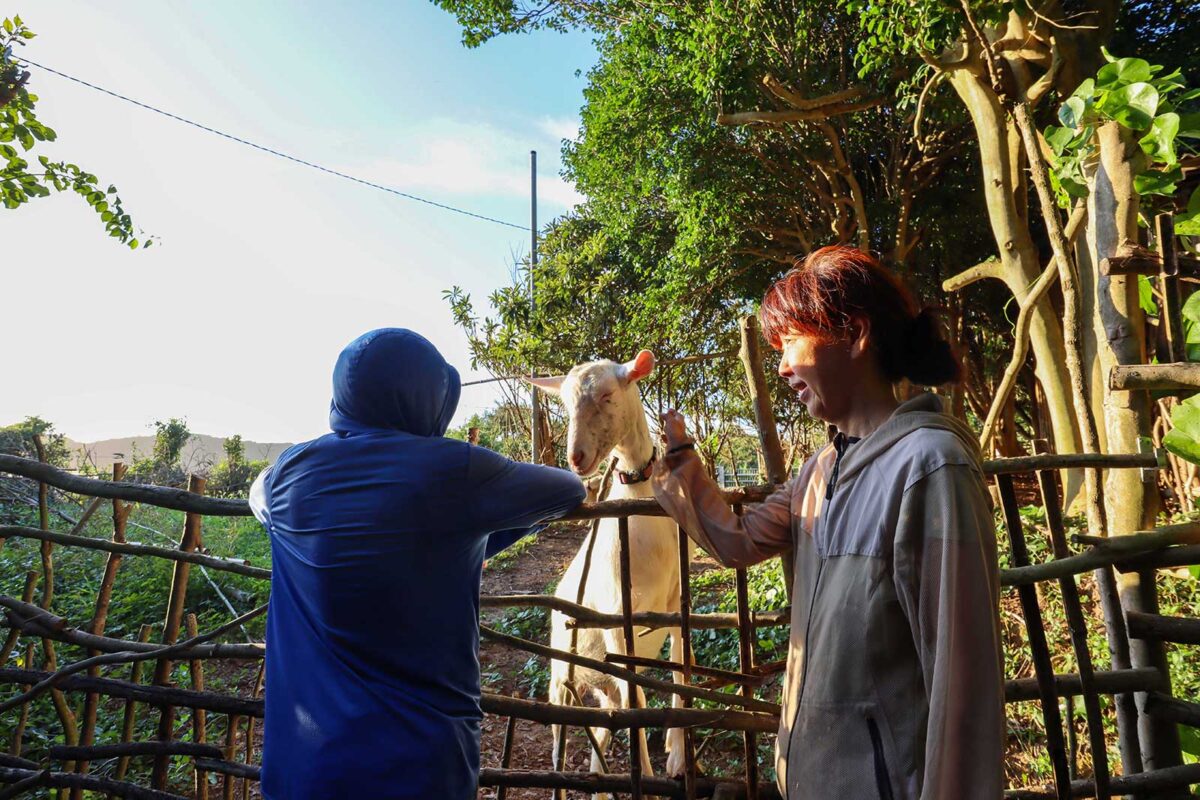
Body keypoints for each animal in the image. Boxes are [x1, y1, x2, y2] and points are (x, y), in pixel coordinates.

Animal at [530, 352, 691, 782]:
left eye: (606, 394)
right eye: (564, 403)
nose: (576, 458)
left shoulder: (676, 604)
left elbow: (680, 670)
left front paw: (679, 757)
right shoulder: (618, 618)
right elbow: (639, 706)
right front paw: (649, 776)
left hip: (605, 691)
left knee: (601, 737)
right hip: (561, 675)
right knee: (561, 738)